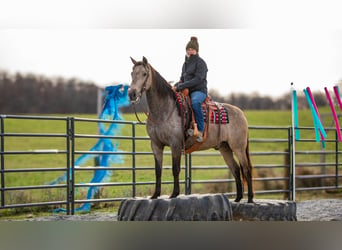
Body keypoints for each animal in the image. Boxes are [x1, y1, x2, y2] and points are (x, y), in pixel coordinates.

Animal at [128, 56, 254, 203]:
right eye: (132, 73)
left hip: (238, 147)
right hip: (225, 148)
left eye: (144, 74)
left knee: (246, 169)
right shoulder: (156, 145)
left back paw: (250, 199)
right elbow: (158, 170)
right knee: (236, 169)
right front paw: (155, 195)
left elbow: (175, 169)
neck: (165, 110)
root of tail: (241, 114)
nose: (132, 94)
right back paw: (238, 198)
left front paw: (174, 194)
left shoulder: (175, 144)